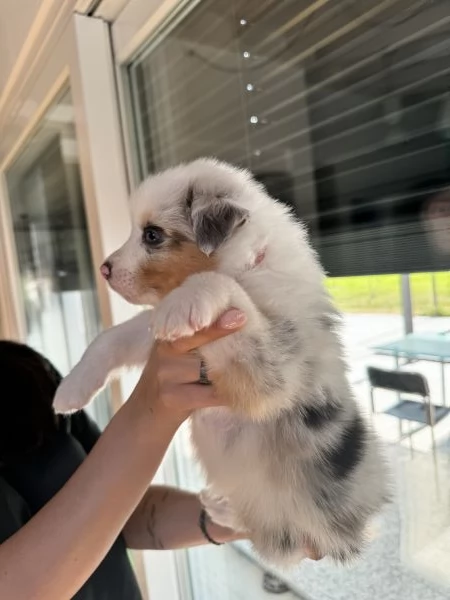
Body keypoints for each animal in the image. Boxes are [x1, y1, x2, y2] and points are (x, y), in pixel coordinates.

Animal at [53, 157, 390, 564]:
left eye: (152, 235)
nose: (104, 269)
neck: (248, 264)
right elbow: (112, 337)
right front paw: (71, 388)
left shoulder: (275, 367)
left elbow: (219, 285)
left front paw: (190, 298)